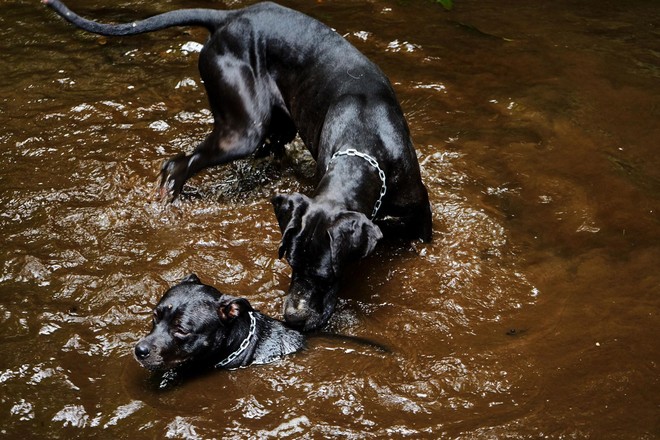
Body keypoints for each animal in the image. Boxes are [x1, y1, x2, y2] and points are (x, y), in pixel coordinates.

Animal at [42, 0, 434, 330]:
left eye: (324, 276)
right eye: (291, 264)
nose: (292, 318)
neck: (364, 144)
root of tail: (228, 17)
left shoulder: (420, 215)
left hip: (277, 126)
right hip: (243, 128)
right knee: (178, 164)